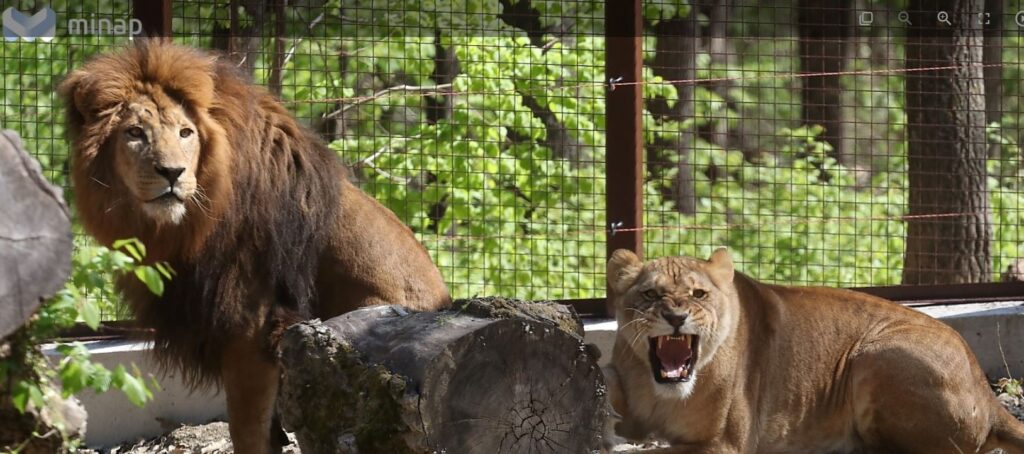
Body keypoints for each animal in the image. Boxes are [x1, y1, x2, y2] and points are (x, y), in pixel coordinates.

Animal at [59, 40, 450, 452]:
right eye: (134, 132)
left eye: (185, 133)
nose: (172, 172)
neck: (181, 227)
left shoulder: (252, 328)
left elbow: (247, 429)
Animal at [602, 251, 1024, 452]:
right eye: (650, 294)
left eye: (699, 294)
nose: (675, 317)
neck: (661, 393)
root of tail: (989, 398)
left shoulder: (723, 445)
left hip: (875, 353)